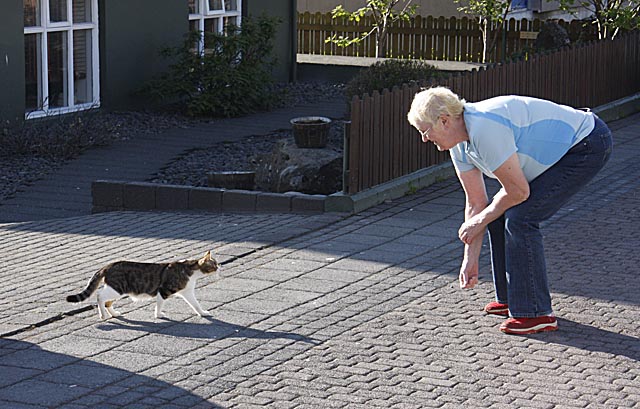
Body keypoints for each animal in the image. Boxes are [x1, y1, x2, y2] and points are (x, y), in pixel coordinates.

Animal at [66, 250, 219, 320]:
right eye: (214, 264)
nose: (220, 267)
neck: (190, 270)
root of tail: (109, 265)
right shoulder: (164, 290)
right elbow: (159, 304)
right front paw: (159, 315)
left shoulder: (188, 292)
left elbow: (196, 304)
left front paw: (202, 313)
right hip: (117, 289)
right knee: (100, 296)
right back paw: (103, 315)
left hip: (118, 290)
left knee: (107, 302)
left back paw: (114, 313)